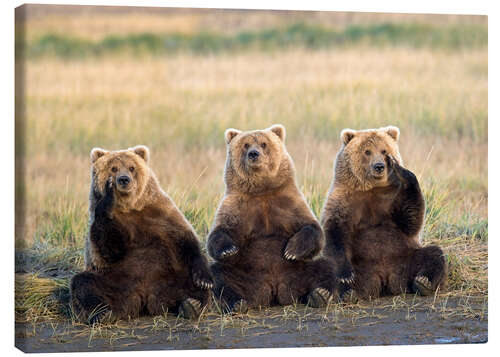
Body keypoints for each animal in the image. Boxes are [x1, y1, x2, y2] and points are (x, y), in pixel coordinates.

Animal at [70, 145, 211, 322]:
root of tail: (144, 298)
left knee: (189, 284)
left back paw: (191, 305)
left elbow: (185, 240)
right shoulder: (108, 224)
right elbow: (108, 248)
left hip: (169, 277)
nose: (124, 179)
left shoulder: (159, 214)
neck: (128, 207)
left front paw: (204, 279)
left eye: (132, 167)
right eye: (113, 168)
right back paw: (103, 313)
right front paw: (109, 196)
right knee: (84, 284)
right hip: (115, 280)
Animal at [207, 124, 340, 312]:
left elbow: (311, 228)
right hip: (245, 273)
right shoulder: (237, 206)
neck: (261, 191)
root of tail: (274, 288)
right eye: (246, 145)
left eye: (263, 143)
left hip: (300, 270)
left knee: (325, 267)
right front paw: (228, 249)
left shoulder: (288, 204)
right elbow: (220, 232)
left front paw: (291, 251)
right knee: (220, 277)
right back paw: (237, 302)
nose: (253, 154)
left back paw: (320, 294)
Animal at [322, 125, 448, 298]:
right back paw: (346, 292)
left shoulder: (393, 197)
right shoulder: (344, 199)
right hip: (365, 265)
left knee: (433, 254)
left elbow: (410, 220)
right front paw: (346, 275)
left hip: (406, 257)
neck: (371, 188)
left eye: (384, 150)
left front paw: (401, 169)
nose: (379, 166)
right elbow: (335, 230)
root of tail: (386, 277)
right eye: (367, 151)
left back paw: (424, 282)